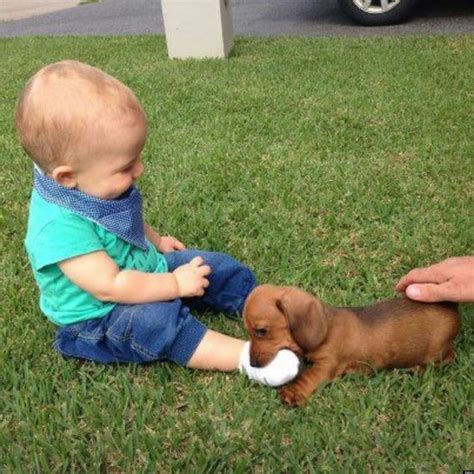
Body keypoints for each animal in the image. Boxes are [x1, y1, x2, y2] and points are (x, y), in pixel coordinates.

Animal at [244, 284, 460, 406]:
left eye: (261, 331)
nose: (253, 364)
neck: (328, 327)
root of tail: (450, 307)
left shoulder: (327, 364)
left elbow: (309, 377)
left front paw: (292, 392)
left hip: (438, 350)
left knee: (447, 358)